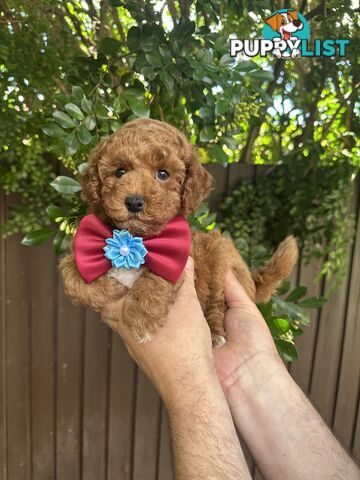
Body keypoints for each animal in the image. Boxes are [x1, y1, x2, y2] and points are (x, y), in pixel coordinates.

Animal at [60, 120, 298, 344]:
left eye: (163, 174)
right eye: (120, 172)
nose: (134, 202)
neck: (136, 237)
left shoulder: (181, 256)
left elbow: (158, 276)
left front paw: (141, 318)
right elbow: (71, 278)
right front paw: (106, 289)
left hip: (222, 258)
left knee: (218, 302)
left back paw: (215, 333)